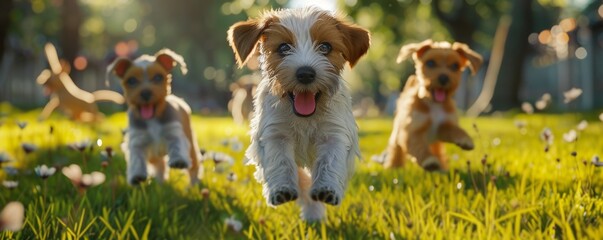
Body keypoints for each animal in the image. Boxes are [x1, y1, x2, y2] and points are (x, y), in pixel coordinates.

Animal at [109, 49, 202, 186]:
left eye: (158, 77)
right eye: (131, 80)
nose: (146, 93)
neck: (152, 119)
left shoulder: (173, 131)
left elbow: (177, 145)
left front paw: (178, 160)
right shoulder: (137, 140)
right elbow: (136, 158)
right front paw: (137, 176)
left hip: (191, 143)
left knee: (194, 166)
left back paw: (193, 185)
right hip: (154, 157)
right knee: (159, 166)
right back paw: (160, 183)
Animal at [229, 7, 370, 221]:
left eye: (325, 47)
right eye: (284, 47)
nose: (305, 73)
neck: (305, 118)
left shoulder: (333, 134)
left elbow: (330, 160)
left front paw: (327, 189)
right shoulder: (275, 134)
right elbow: (280, 161)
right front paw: (282, 189)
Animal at [390, 39, 484, 171]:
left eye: (455, 66)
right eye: (430, 63)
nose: (443, 78)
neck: (434, 105)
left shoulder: (443, 126)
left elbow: (455, 129)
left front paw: (465, 139)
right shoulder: (412, 130)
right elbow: (419, 146)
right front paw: (429, 160)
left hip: (435, 143)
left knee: (438, 151)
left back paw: (442, 168)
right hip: (397, 133)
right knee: (396, 149)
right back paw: (395, 167)